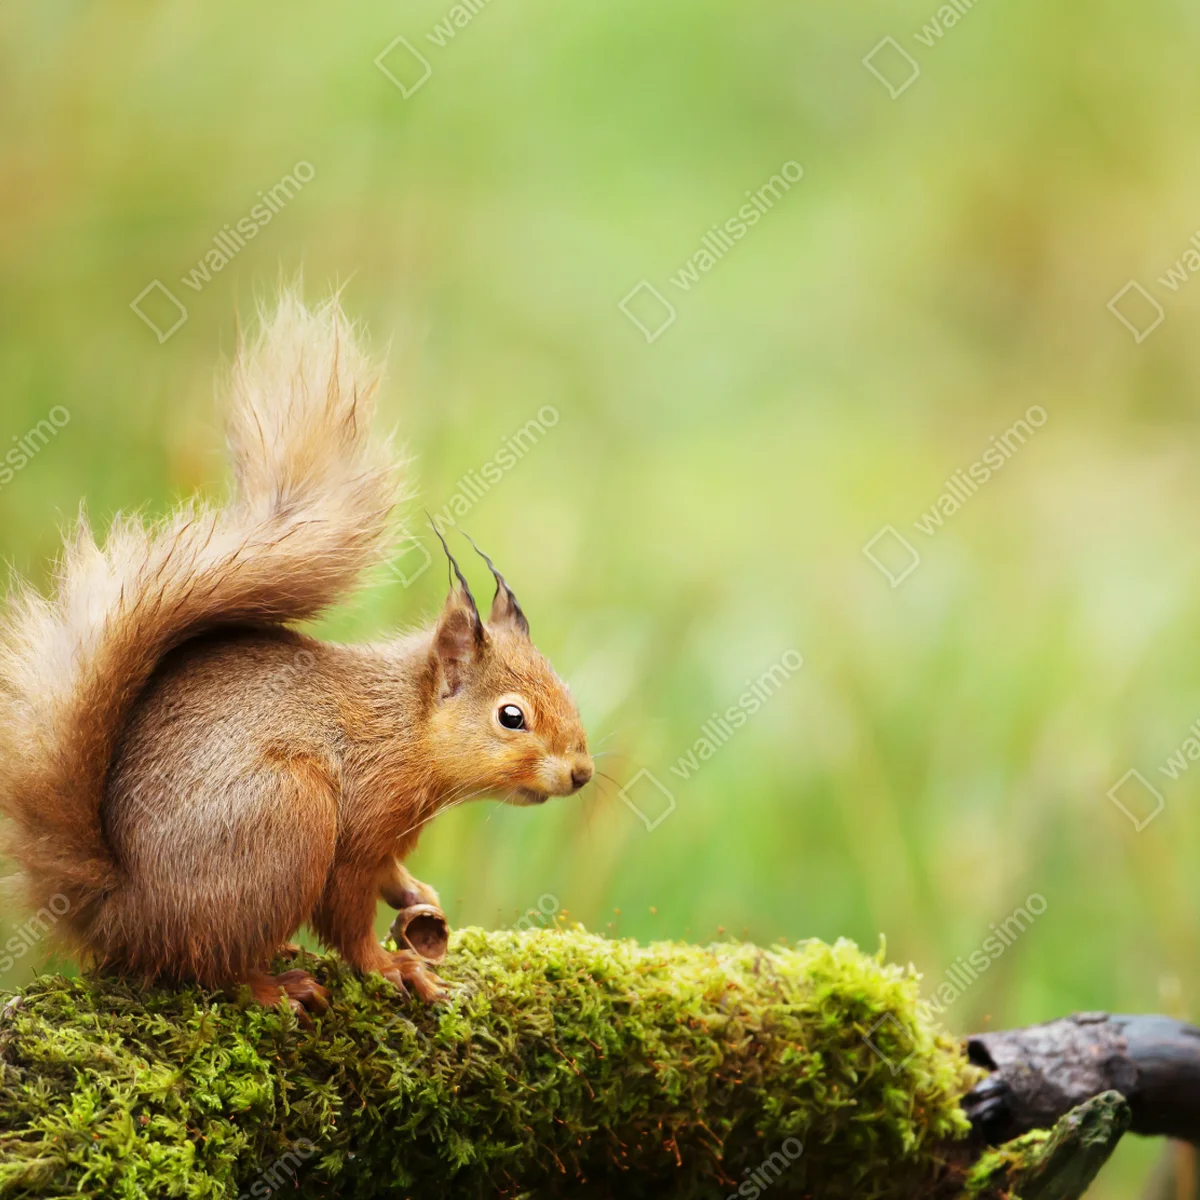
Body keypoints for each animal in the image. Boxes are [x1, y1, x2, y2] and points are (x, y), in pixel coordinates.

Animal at [0, 291, 593, 1017]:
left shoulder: (386, 839)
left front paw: (419, 897)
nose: (582, 773)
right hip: (288, 818)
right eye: (512, 717)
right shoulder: (358, 829)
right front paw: (392, 967)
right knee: (207, 965)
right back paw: (273, 984)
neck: (405, 727)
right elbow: (347, 915)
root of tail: (118, 913)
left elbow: (391, 877)